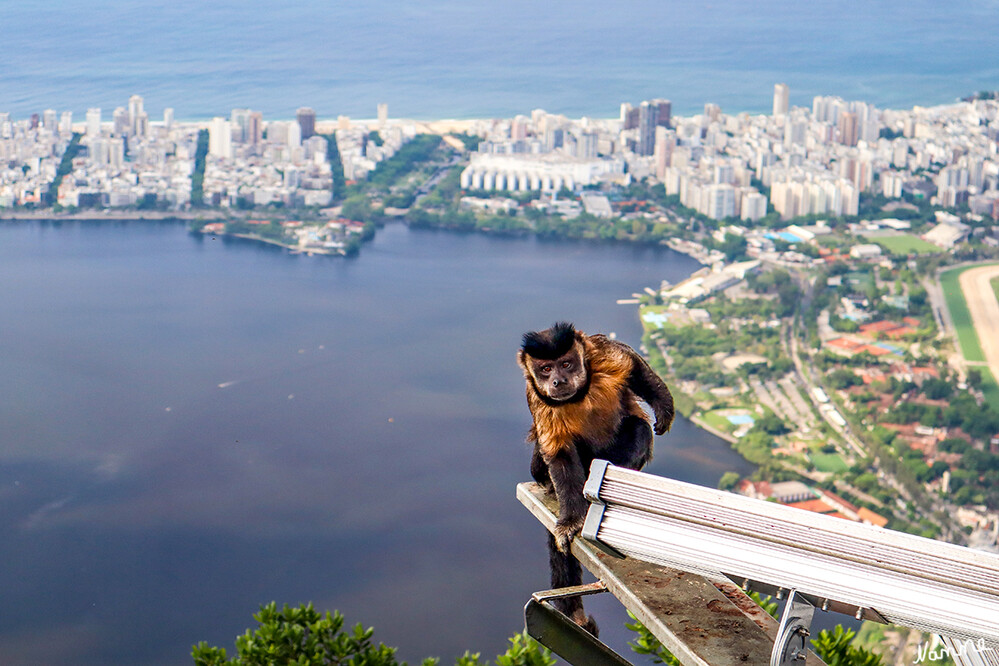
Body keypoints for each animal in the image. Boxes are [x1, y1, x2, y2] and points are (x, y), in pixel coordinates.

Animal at [520, 322, 676, 632]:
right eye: (545, 369)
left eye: (566, 364)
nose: (557, 381)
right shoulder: (536, 395)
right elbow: (559, 453)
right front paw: (571, 520)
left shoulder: (601, 354)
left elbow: (632, 363)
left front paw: (664, 404)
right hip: (540, 472)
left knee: (638, 430)